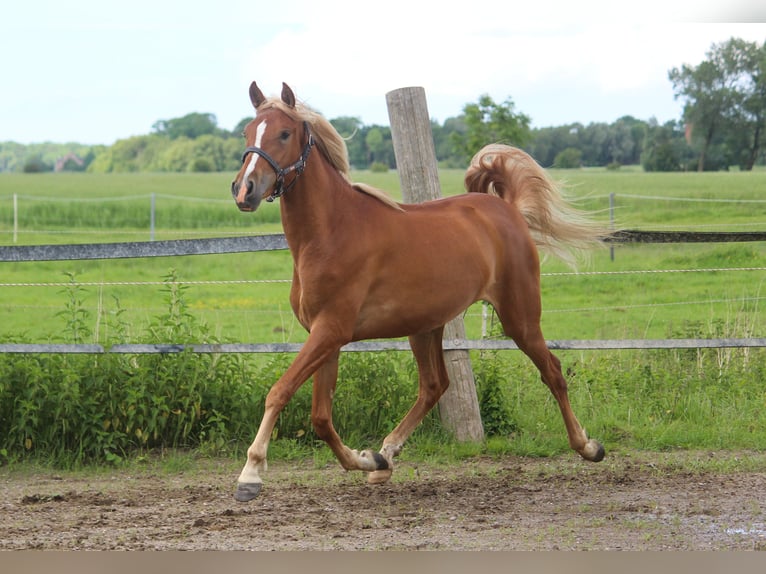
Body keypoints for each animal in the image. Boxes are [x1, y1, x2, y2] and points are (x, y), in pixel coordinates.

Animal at [231, 82, 608, 504]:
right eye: (248, 132)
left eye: (283, 133)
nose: (244, 190)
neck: (330, 233)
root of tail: (507, 211)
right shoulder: (325, 335)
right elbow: (321, 417)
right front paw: (367, 460)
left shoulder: (331, 331)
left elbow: (279, 392)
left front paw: (250, 474)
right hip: (425, 326)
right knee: (434, 386)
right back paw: (386, 455)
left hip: (519, 316)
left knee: (553, 371)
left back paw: (588, 446)